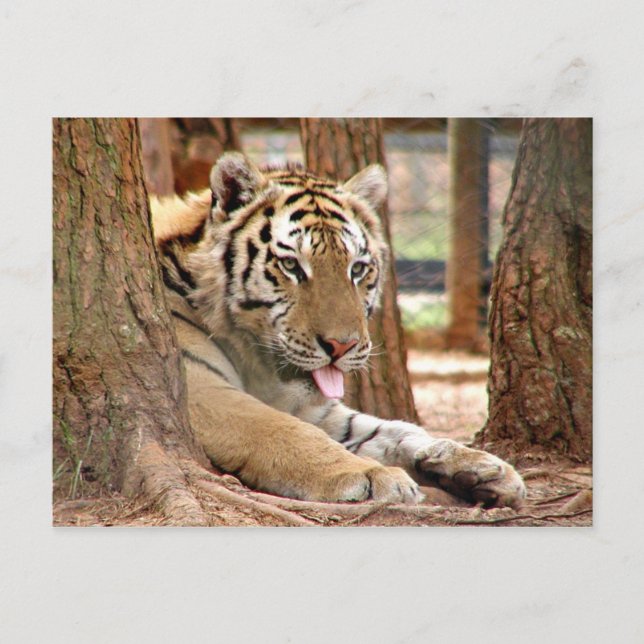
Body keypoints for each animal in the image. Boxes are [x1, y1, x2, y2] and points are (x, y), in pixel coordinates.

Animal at [151, 152, 526, 508]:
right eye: (291, 265)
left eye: (357, 269)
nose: (341, 346)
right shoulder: (203, 390)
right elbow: (288, 431)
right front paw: (373, 476)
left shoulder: (315, 407)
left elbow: (394, 430)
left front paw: (482, 466)